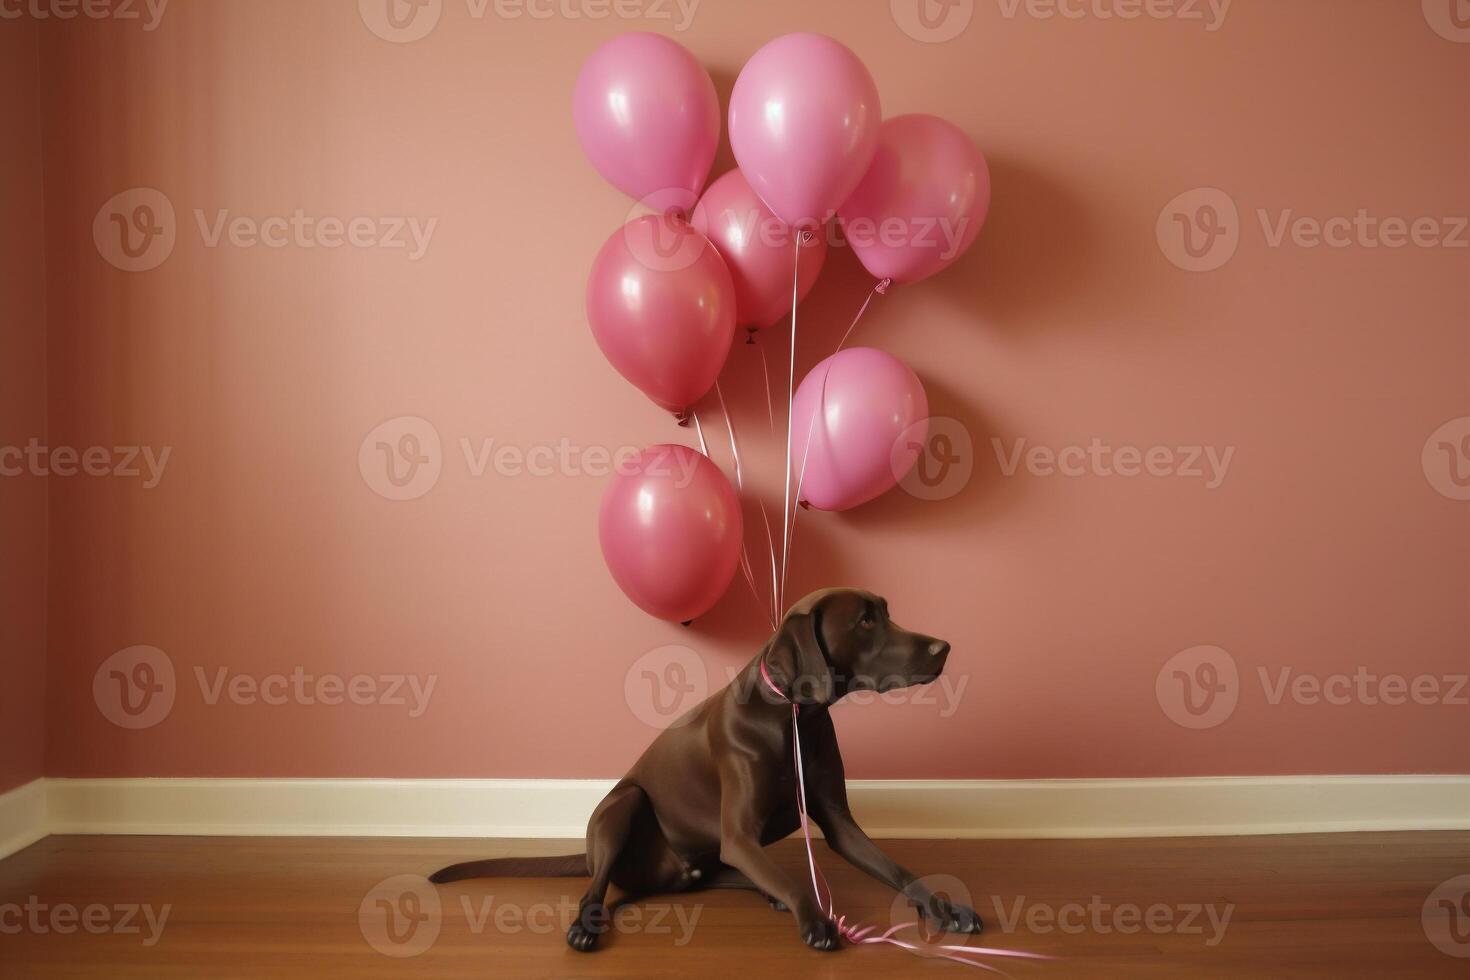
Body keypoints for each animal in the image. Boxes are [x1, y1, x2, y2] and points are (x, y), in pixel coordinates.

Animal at [429, 590, 981, 952]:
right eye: (865, 621)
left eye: (885, 613)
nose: (945, 647)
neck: (793, 715)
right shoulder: (738, 833)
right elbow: (794, 879)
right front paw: (814, 919)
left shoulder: (838, 823)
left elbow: (899, 870)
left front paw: (943, 908)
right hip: (623, 806)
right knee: (600, 884)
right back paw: (586, 923)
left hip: (707, 857)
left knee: (737, 873)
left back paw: (766, 894)